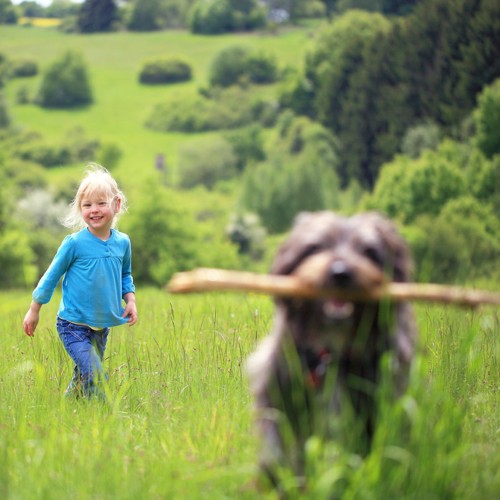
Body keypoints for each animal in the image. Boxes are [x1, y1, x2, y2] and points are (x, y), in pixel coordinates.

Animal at [246, 212, 418, 488]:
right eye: (316, 247)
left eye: (369, 251)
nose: (341, 273)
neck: (332, 350)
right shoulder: (276, 388)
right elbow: (275, 444)